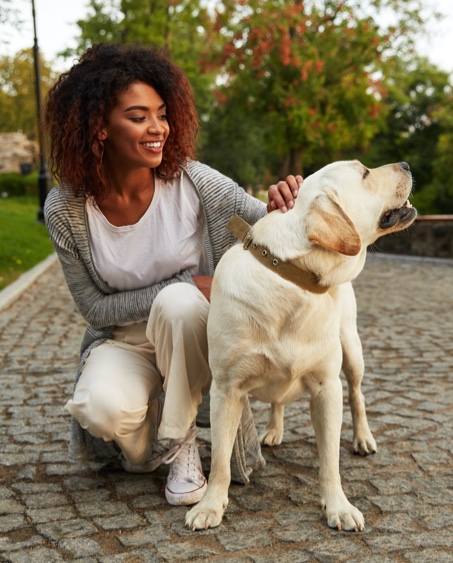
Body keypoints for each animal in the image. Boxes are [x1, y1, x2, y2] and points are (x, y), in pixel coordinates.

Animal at [185, 160, 414, 532]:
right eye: (365, 173)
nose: (406, 164)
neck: (292, 278)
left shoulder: (327, 387)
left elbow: (330, 459)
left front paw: (338, 506)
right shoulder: (225, 389)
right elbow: (220, 458)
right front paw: (209, 506)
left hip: (352, 350)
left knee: (358, 394)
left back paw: (363, 438)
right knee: (278, 401)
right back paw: (274, 430)